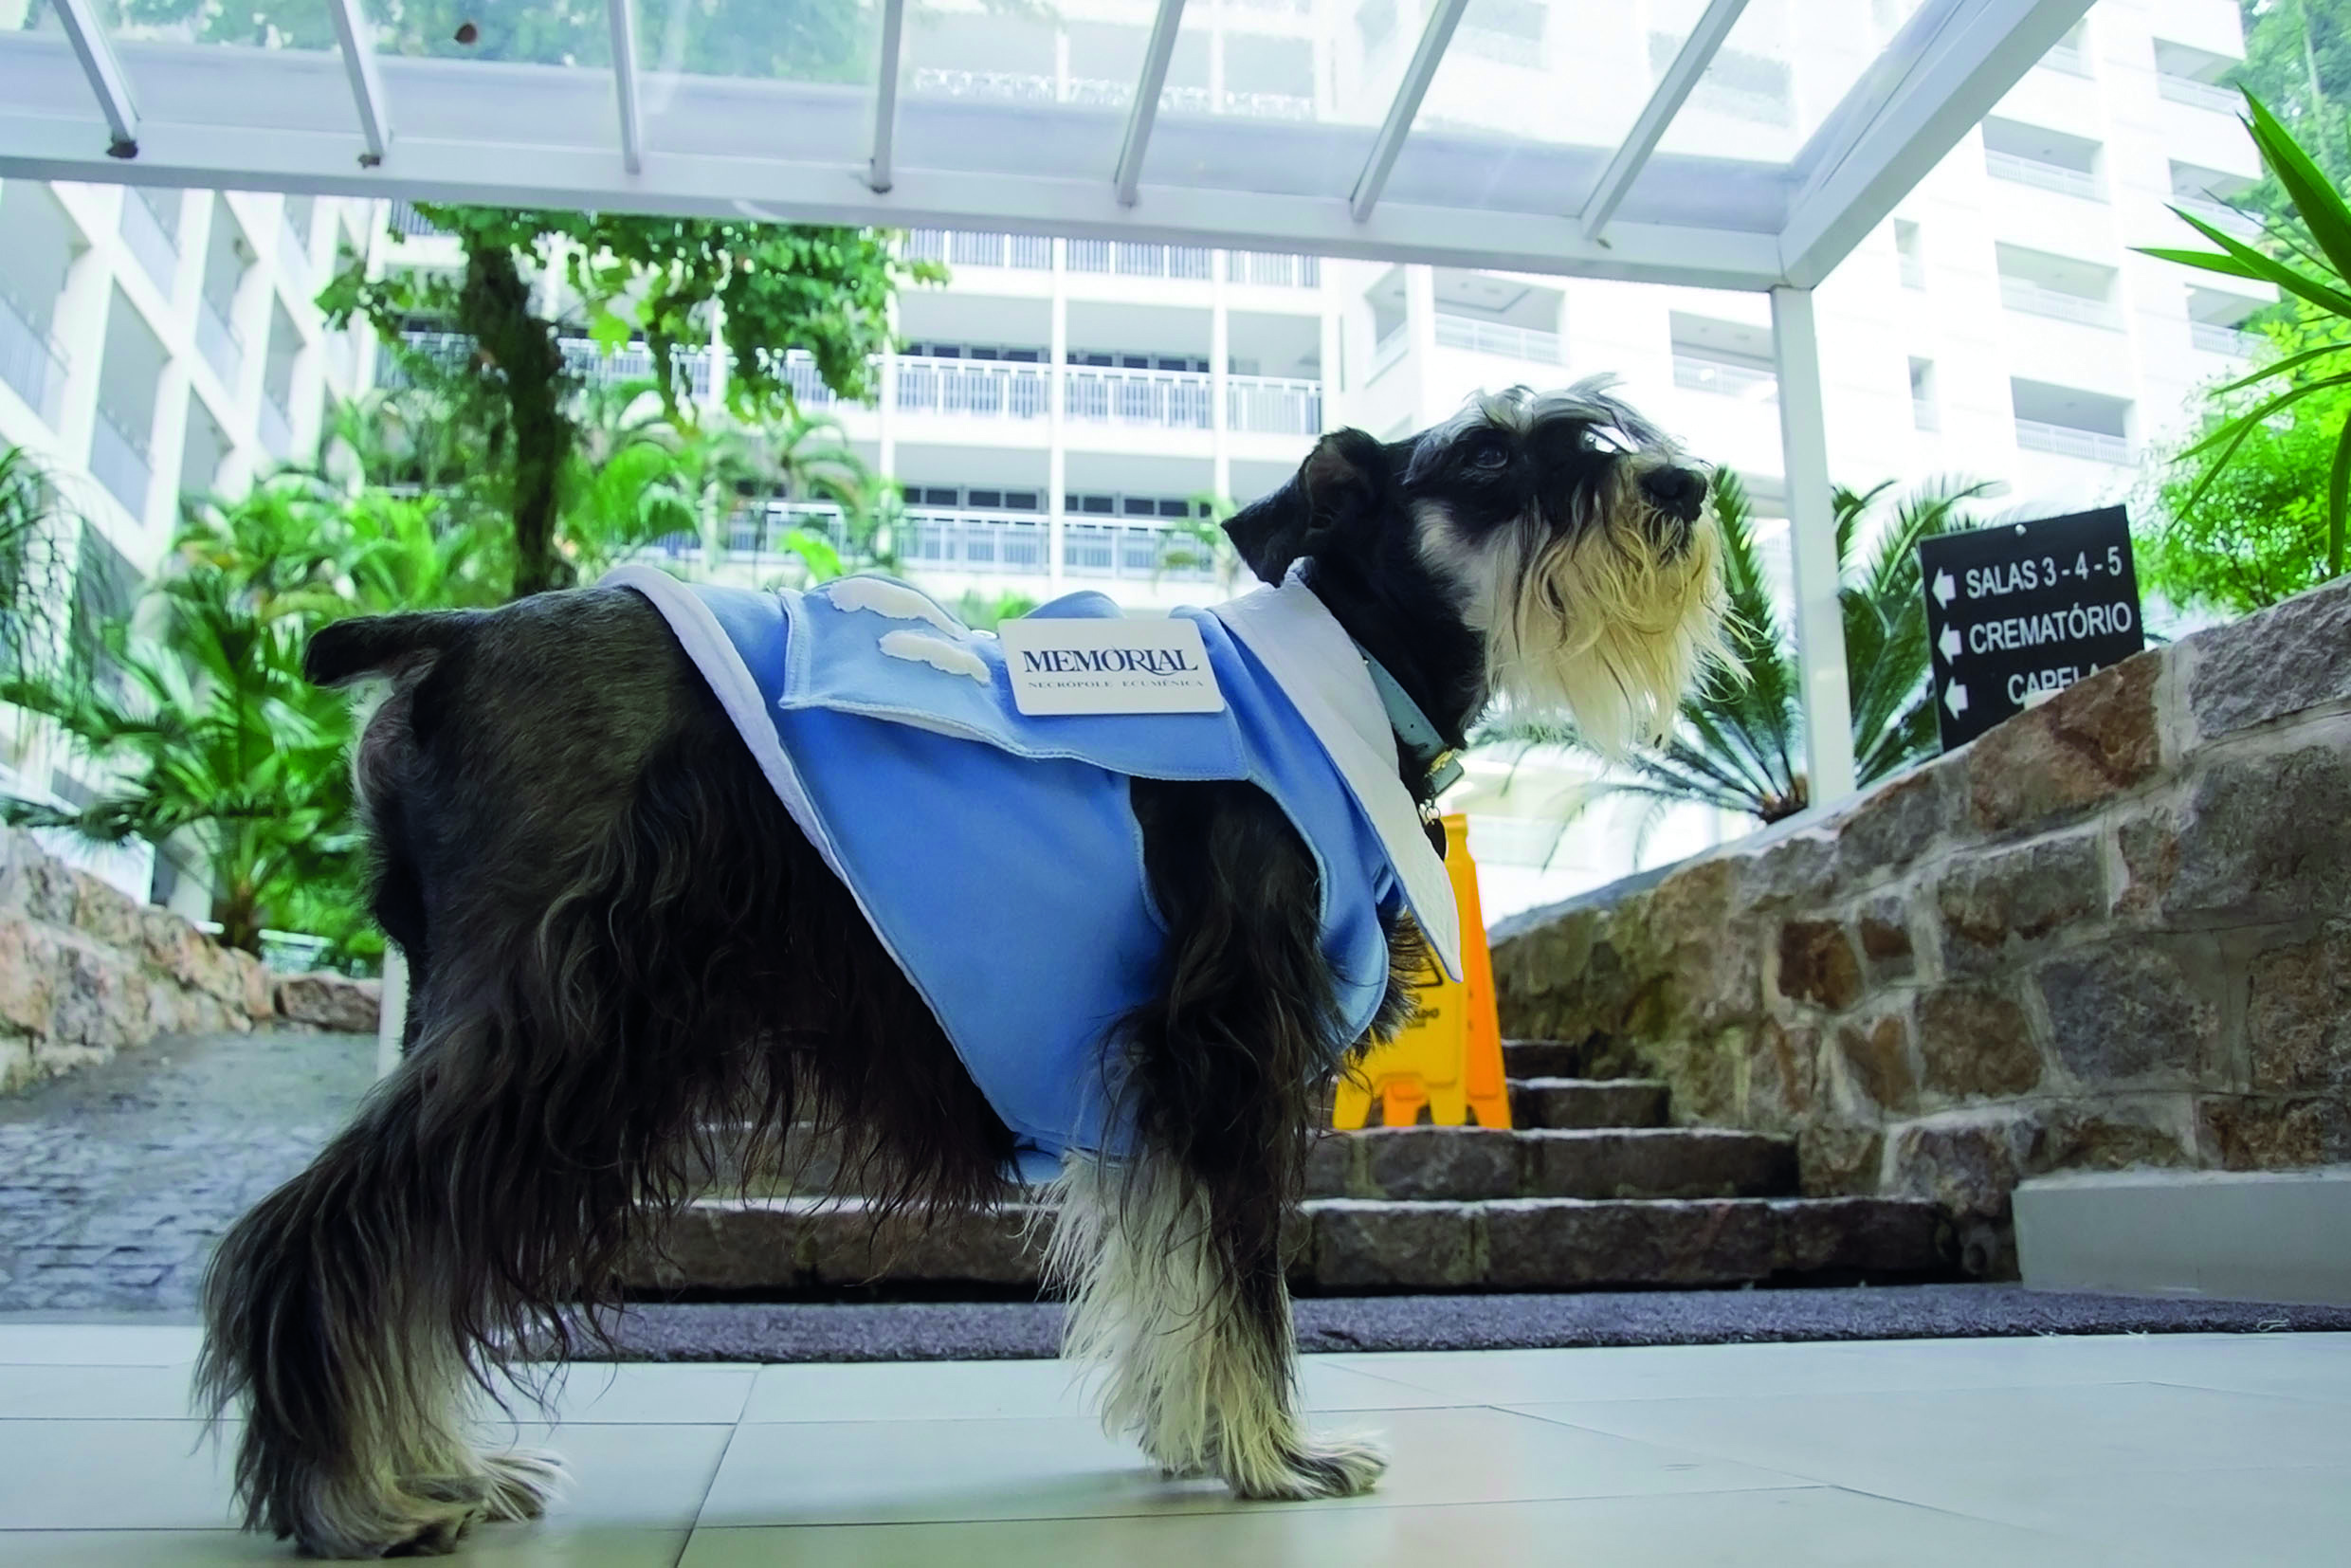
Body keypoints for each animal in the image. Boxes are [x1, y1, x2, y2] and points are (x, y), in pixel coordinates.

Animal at [192, 380, 1721, 1560]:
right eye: (1485, 457)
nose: (1684, 483)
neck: (1339, 671)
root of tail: (449, 634)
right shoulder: (1222, 1046)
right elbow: (1240, 1271)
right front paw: (1272, 1454)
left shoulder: (1147, 1081)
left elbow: (1170, 1264)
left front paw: (1192, 1437)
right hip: (544, 1021)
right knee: (337, 1226)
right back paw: (369, 1492)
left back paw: (423, 1466)